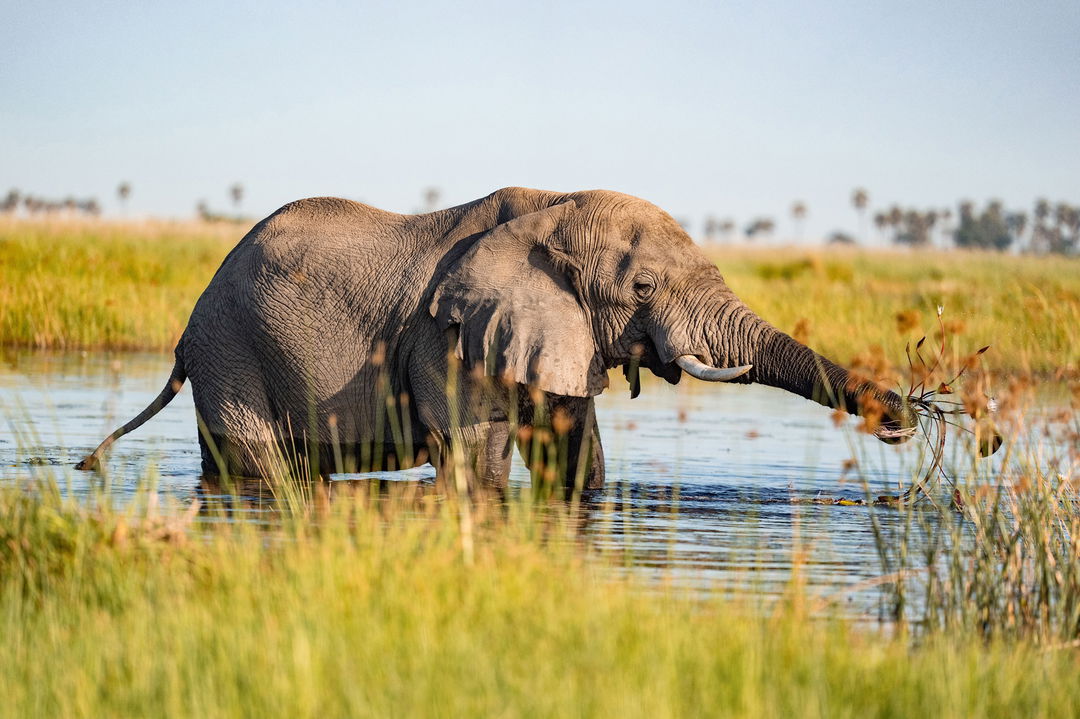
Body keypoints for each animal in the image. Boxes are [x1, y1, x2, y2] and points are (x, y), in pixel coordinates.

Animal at [77, 187, 914, 491]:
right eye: (643, 288)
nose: (904, 416)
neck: (552, 203)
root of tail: (187, 329)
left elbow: (575, 460)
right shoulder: (443, 338)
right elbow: (476, 465)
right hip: (233, 352)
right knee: (258, 466)